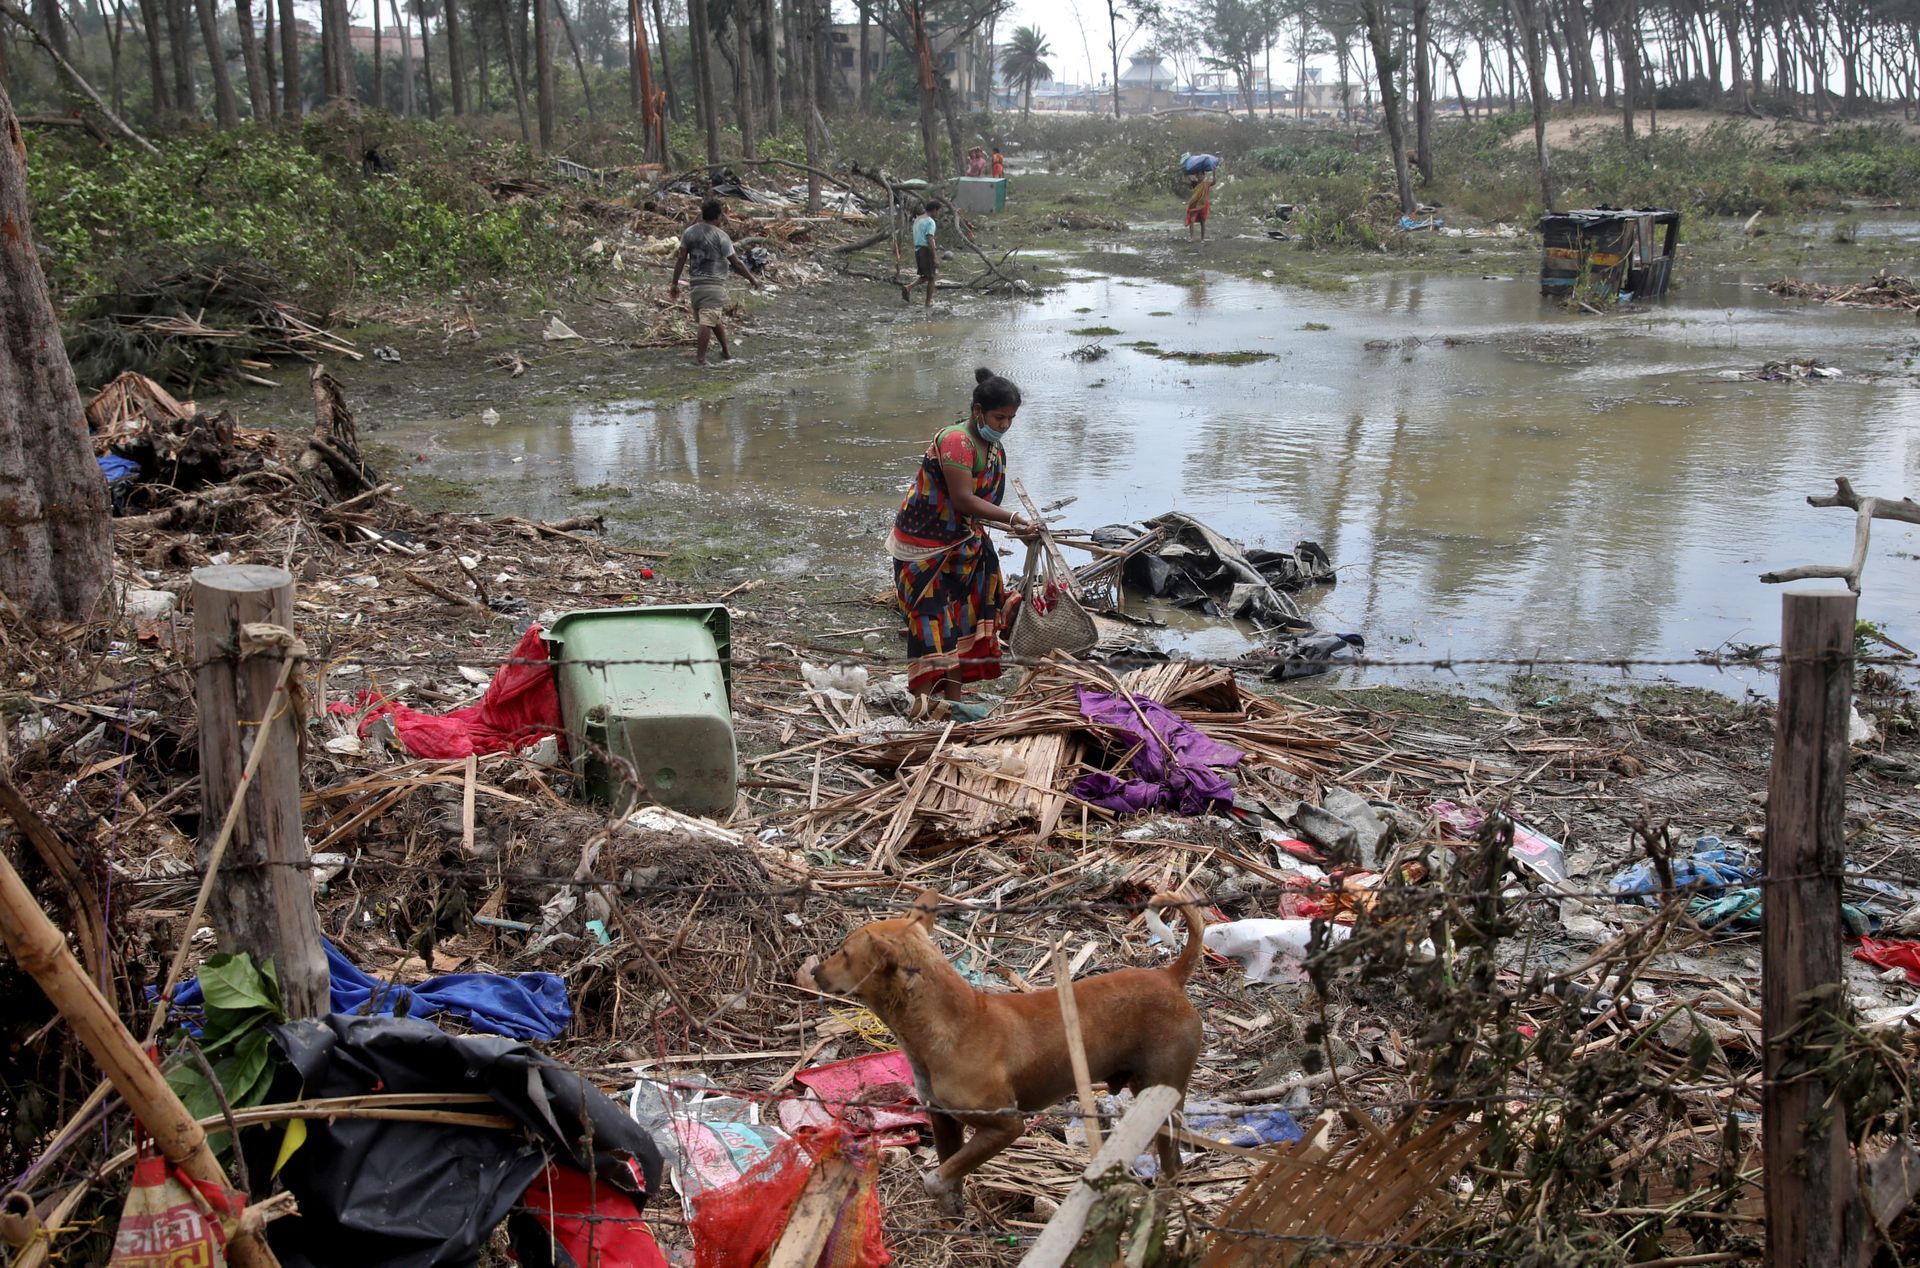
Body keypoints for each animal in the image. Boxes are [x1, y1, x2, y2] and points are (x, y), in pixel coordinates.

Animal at [794, 887, 1198, 1214]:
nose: (814, 972)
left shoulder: (1006, 1126)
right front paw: (953, 1215)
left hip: (1163, 1100)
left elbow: (936, 1177)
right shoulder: (943, 1119)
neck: (950, 1025)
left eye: (845, 953)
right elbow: (950, 1173)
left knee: (1173, 1167)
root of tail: (1170, 978)